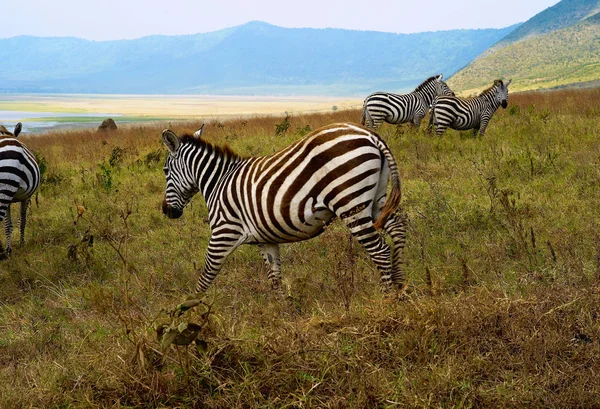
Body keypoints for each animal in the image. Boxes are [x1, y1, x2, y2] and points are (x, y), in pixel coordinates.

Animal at [162, 121, 408, 296]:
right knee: (398, 228)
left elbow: (205, 277)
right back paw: (400, 285)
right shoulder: (265, 240)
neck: (218, 182)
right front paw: (282, 314)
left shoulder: (224, 232)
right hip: (374, 201)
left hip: (351, 203)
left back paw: (388, 300)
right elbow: (275, 278)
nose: (166, 211)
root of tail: (370, 135)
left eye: (165, 171)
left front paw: (187, 315)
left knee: (379, 250)